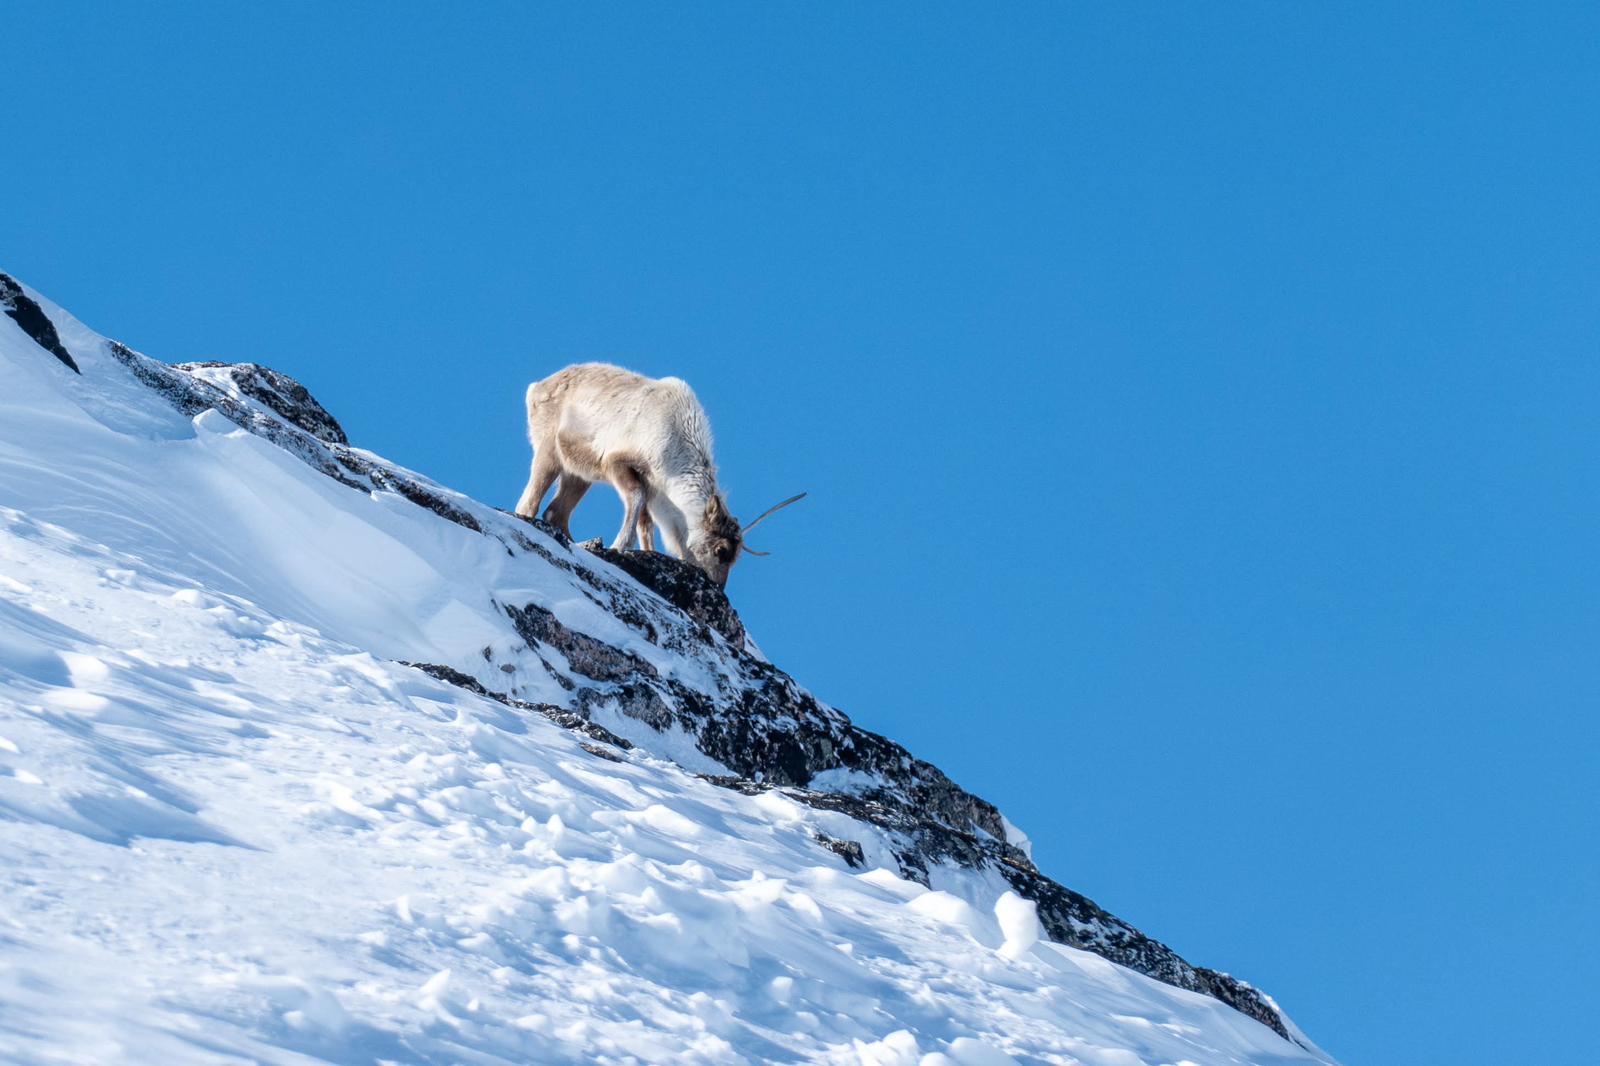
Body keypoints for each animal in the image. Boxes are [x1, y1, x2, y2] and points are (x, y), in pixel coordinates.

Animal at [514, 362, 804, 587]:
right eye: (721, 550)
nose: (718, 588)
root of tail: (536, 387)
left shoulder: (653, 489)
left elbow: (646, 524)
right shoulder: (619, 464)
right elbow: (636, 500)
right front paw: (619, 545)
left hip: (579, 473)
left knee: (556, 512)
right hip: (548, 451)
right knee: (528, 503)